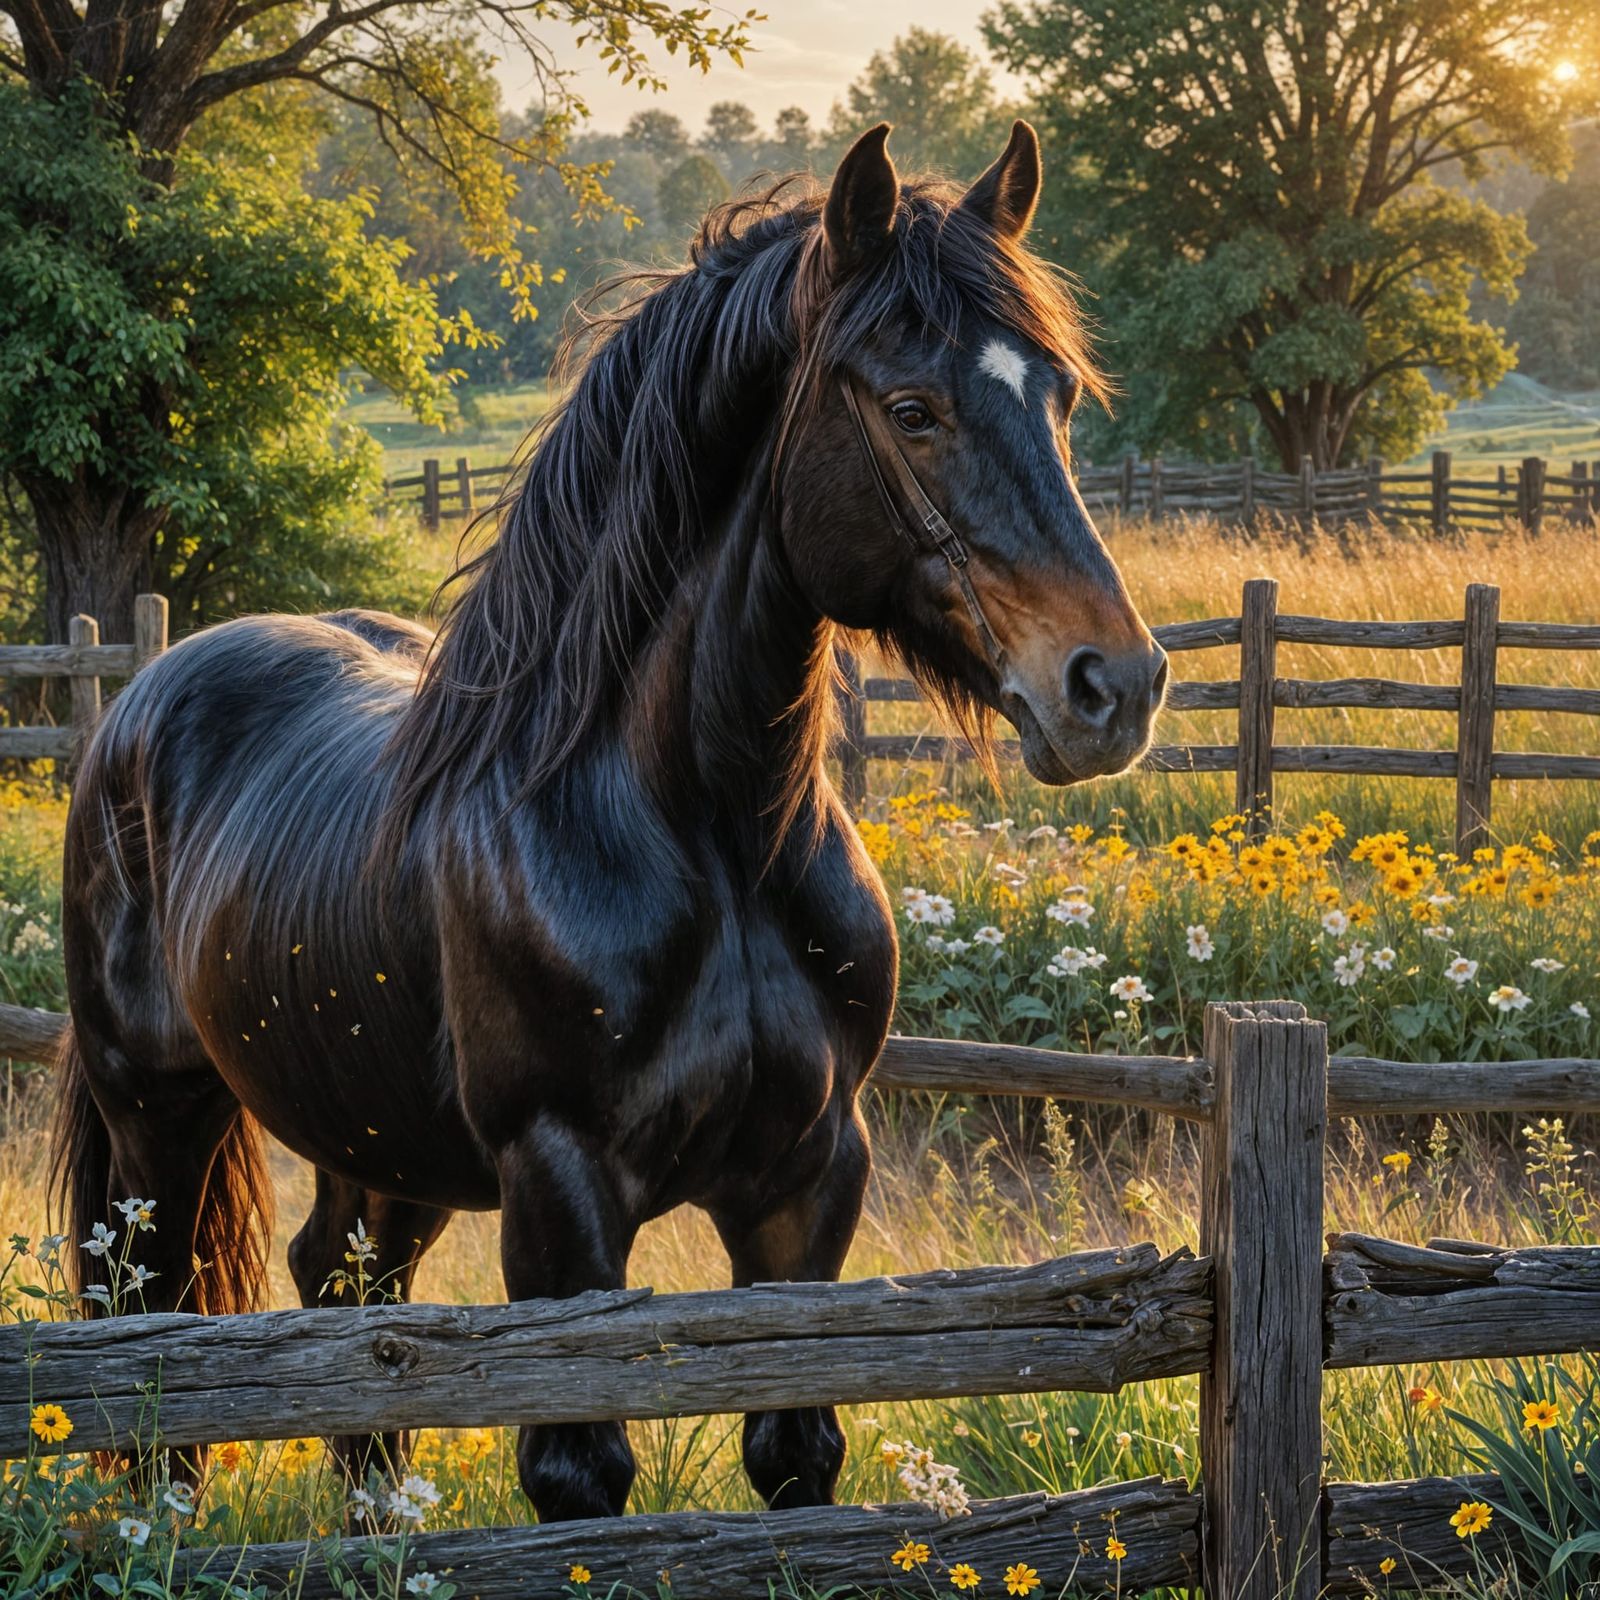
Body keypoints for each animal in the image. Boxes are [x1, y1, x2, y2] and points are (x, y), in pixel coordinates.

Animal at [52, 120, 1167, 1522]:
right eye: (912, 410)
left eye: (1059, 398)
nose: (1113, 684)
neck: (706, 840)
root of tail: (143, 694)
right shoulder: (562, 1196)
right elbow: (580, 1478)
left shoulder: (808, 1185)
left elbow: (795, 1456)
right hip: (158, 1119)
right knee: (153, 1346)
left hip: (376, 1147)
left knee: (349, 1304)